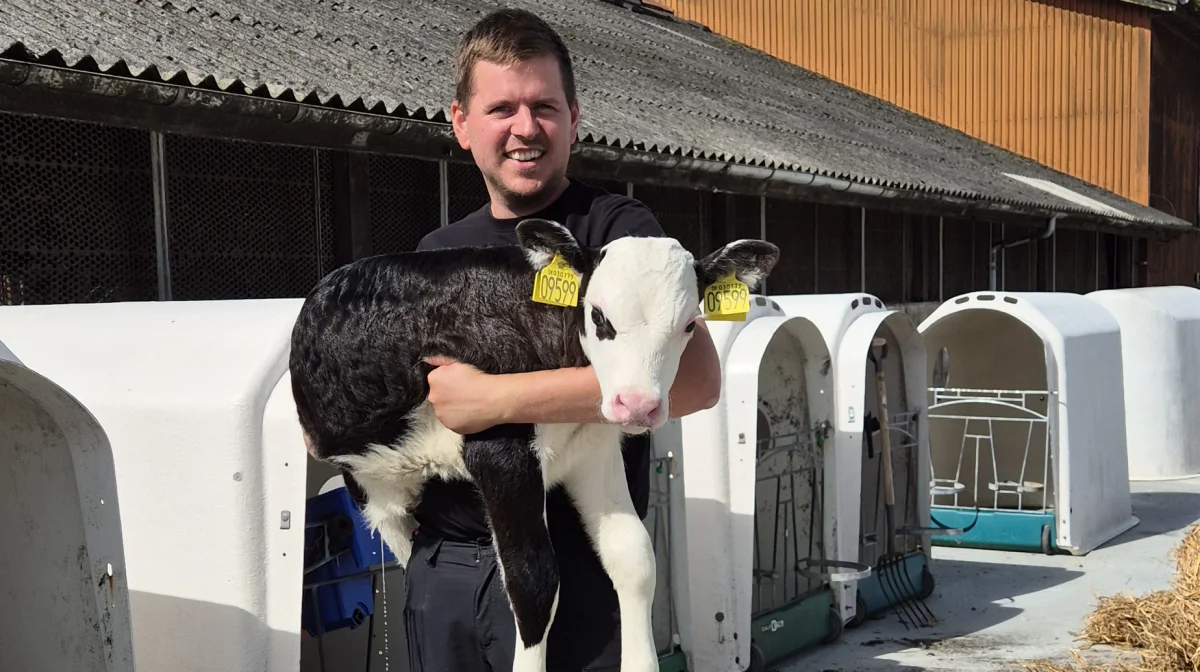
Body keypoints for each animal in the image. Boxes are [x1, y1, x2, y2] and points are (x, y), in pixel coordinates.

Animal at [289, 220, 777, 672]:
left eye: (690, 324)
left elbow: (634, 557)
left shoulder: (595, 446)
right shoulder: (497, 445)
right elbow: (533, 579)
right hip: (371, 485)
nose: (639, 404)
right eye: (598, 317)